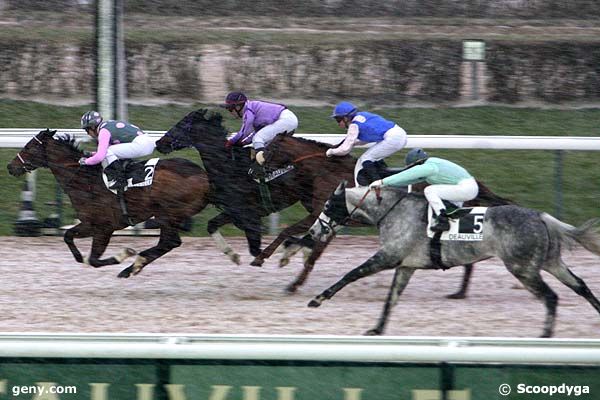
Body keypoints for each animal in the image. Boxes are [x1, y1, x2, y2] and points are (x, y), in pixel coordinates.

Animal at [4, 129, 210, 278]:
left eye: (29, 147)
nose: (10, 167)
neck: (85, 180)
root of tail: (205, 177)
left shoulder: (104, 227)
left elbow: (94, 259)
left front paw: (123, 254)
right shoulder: (90, 224)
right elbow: (68, 236)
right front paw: (79, 257)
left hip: (168, 215)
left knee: (169, 242)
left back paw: (131, 266)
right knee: (168, 243)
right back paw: (134, 266)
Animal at [154, 109, 356, 290]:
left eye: (181, 125)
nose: (159, 142)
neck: (229, 165)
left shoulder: (248, 214)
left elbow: (256, 247)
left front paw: (278, 254)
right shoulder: (235, 211)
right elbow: (212, 225)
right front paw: (233, 255)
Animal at [264, 133, 512, 296]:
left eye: (270, 147)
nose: (260, 166)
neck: (326, 171)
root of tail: (474, 183)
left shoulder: (323, 214)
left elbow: (302, 242)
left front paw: (275, 263)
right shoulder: (327, 218)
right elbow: (306, 243)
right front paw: (282, 258)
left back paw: (459, 291)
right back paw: (460, 291)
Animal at [308, 182, 600, 338]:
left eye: (327, 206)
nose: (313, 232)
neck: (392, 211)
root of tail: (540, 216)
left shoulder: (388, 257)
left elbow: (351, 274)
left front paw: (318, 298)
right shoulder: (406, 265)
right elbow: (391, 298)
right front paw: (377, 329)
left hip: (523, 268)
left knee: (551, 297)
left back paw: (545, 335)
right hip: (550, 263)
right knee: (581, 286)